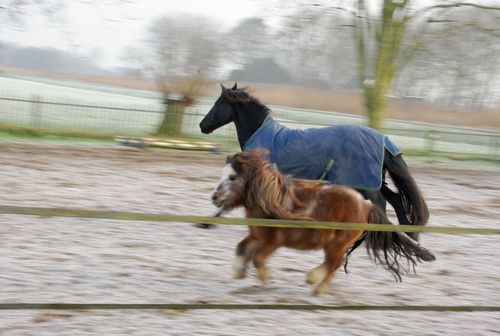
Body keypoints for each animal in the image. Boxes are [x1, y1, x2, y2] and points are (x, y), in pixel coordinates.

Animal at [200, 84, 430, 242]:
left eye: (217, 104)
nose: (203, 125)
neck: (261, 134)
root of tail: (382, 140)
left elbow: (232, 199)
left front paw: (207, 222)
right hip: (372, 180)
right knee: (397, 200)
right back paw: (409, 235)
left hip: (365, 182)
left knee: (381, 204)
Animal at [211, 151, 434, 296]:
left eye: (233, 177)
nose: (215, 197)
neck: (271, 200)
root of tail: (365, 205)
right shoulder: (256, 236)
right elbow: (241, 248)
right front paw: (239, 273)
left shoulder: (273, 242)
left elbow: (257, 258)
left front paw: (266, 280)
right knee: (333, 264)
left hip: (337, 243)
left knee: (334, 263)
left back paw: (315, 283)